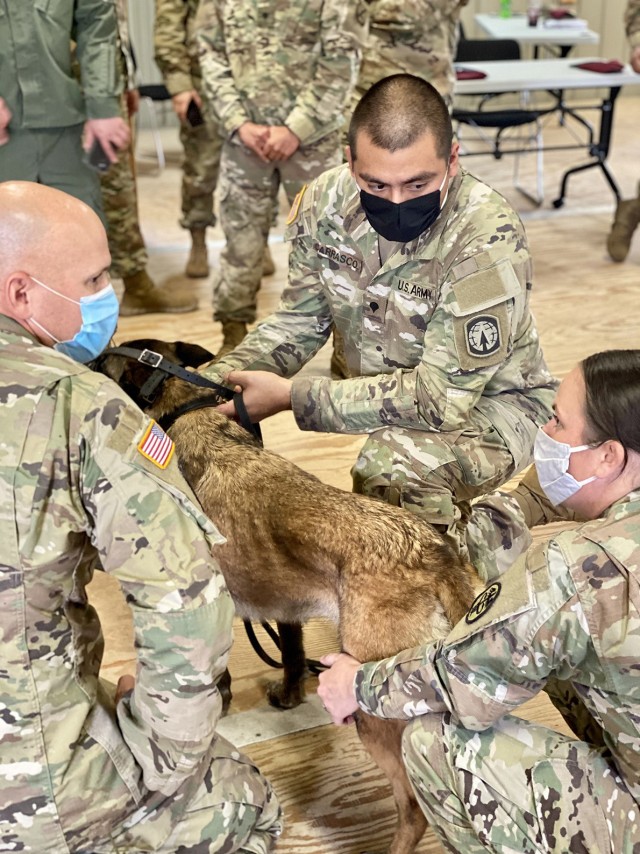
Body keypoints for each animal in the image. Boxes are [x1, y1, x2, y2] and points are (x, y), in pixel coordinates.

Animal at [97, 342, 482, 854]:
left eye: (104, 361)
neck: (188, 409)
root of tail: (433, 553)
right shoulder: (287, 608)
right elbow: (294, 656)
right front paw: (288, 695)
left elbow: (214, 675)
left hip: (374, 706)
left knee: (413, 807)